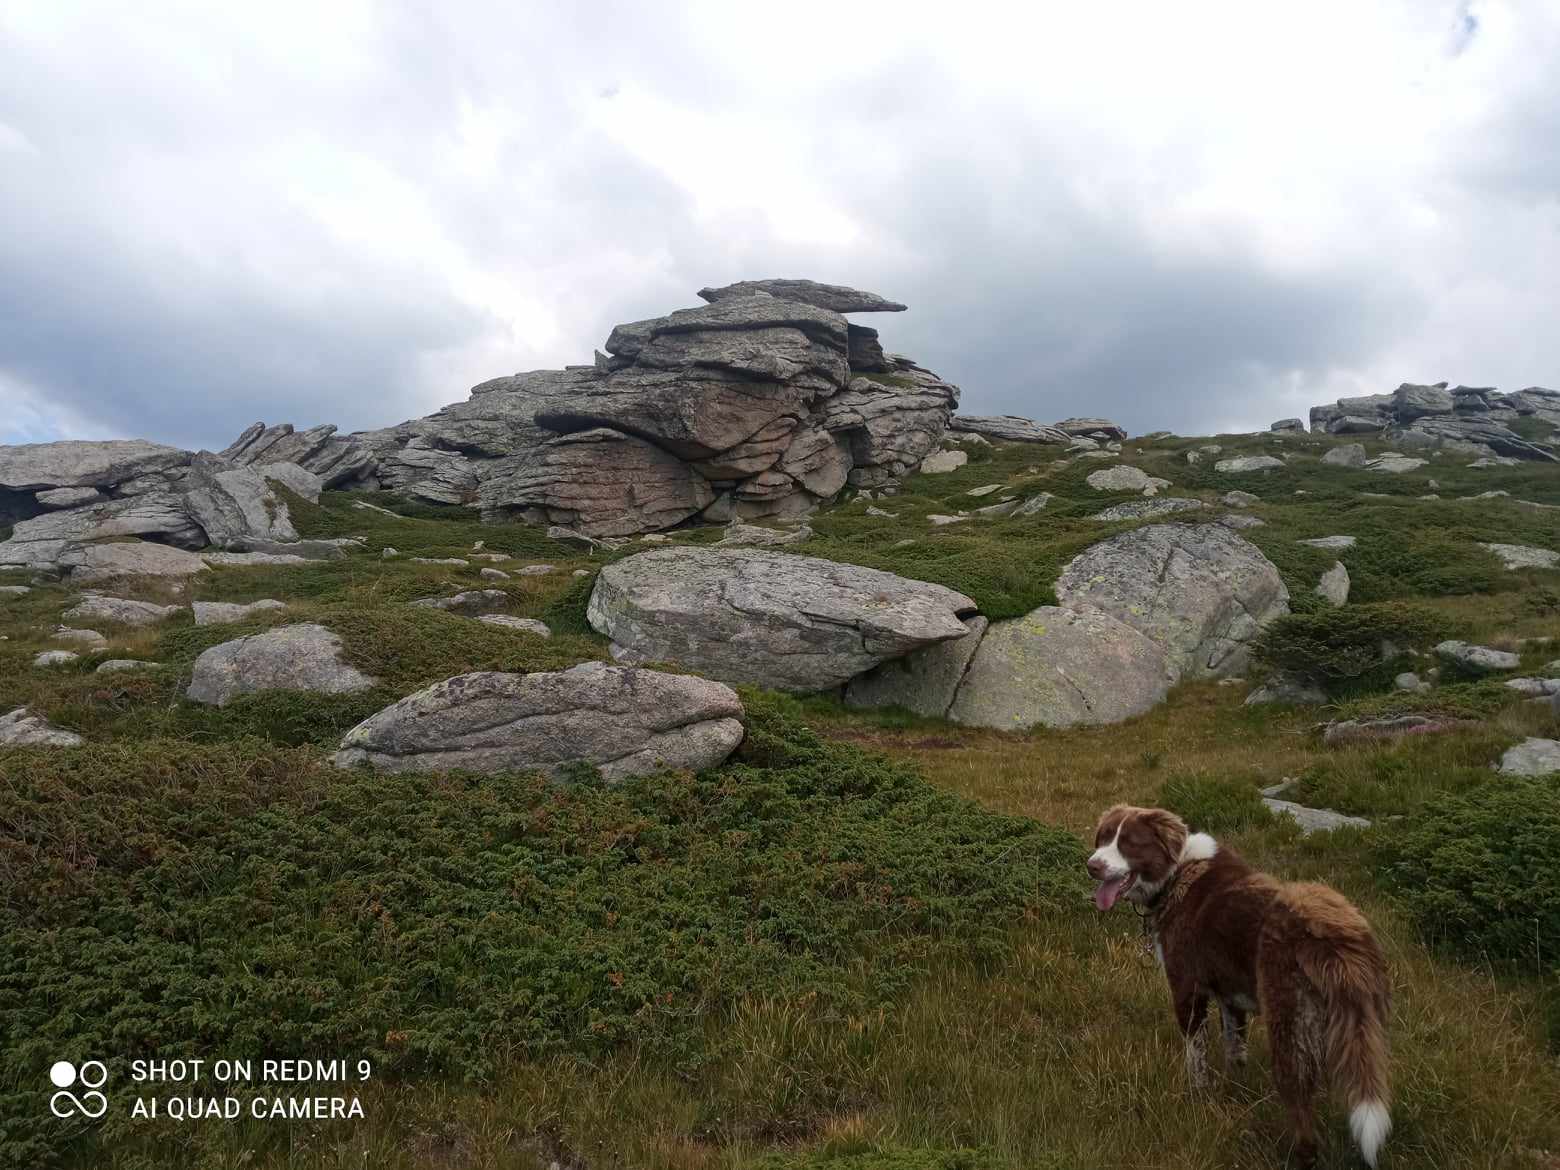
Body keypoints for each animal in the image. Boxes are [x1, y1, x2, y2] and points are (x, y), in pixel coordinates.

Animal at [1085, 811, 1391, 1166]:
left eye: (1129, 842)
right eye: (1103, 838)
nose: (1092, 866)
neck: (1176, 872)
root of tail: (1336, 931)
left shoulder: (1187, 988)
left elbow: (1196, 1056)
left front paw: (1198, 1097)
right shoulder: (1230, 997)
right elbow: (1235, 1050)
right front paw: (1234, 1092)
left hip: (1289, 1027)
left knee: (1301, 1108)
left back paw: (1298, 1155)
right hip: (1349, 1027)